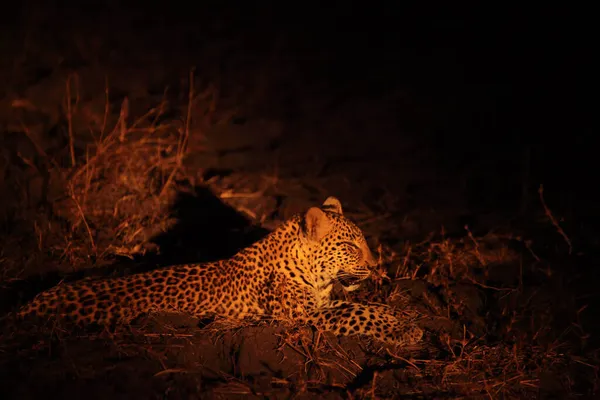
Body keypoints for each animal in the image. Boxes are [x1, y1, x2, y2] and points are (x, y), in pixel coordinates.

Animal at [16, 198, 424, 346]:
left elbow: (360, 305)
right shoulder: (305, 318)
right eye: (351, 247)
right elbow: (357, 312)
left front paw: (407, 317)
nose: (375, 266)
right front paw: (404, 328)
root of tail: (26, 308)